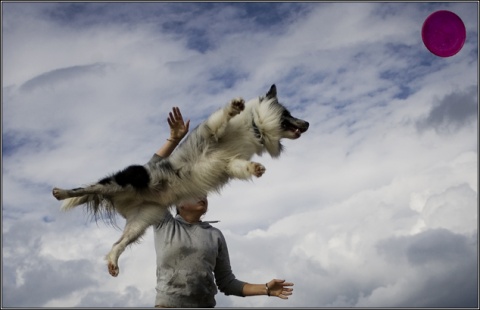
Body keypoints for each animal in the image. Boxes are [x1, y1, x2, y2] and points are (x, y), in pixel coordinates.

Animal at [51, 84, 308, 276]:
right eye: (288, 114)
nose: (307, 124)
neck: (254, 127)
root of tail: (128, 198)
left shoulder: (230, 162)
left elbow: (241, 166)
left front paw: (256, 168)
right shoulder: (211, 134)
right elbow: (221, 118)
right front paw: (235, 106)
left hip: (141, 221)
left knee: (117, 244)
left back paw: (113, 262)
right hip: (124, 181)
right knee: (85, 189)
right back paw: (61, 192)